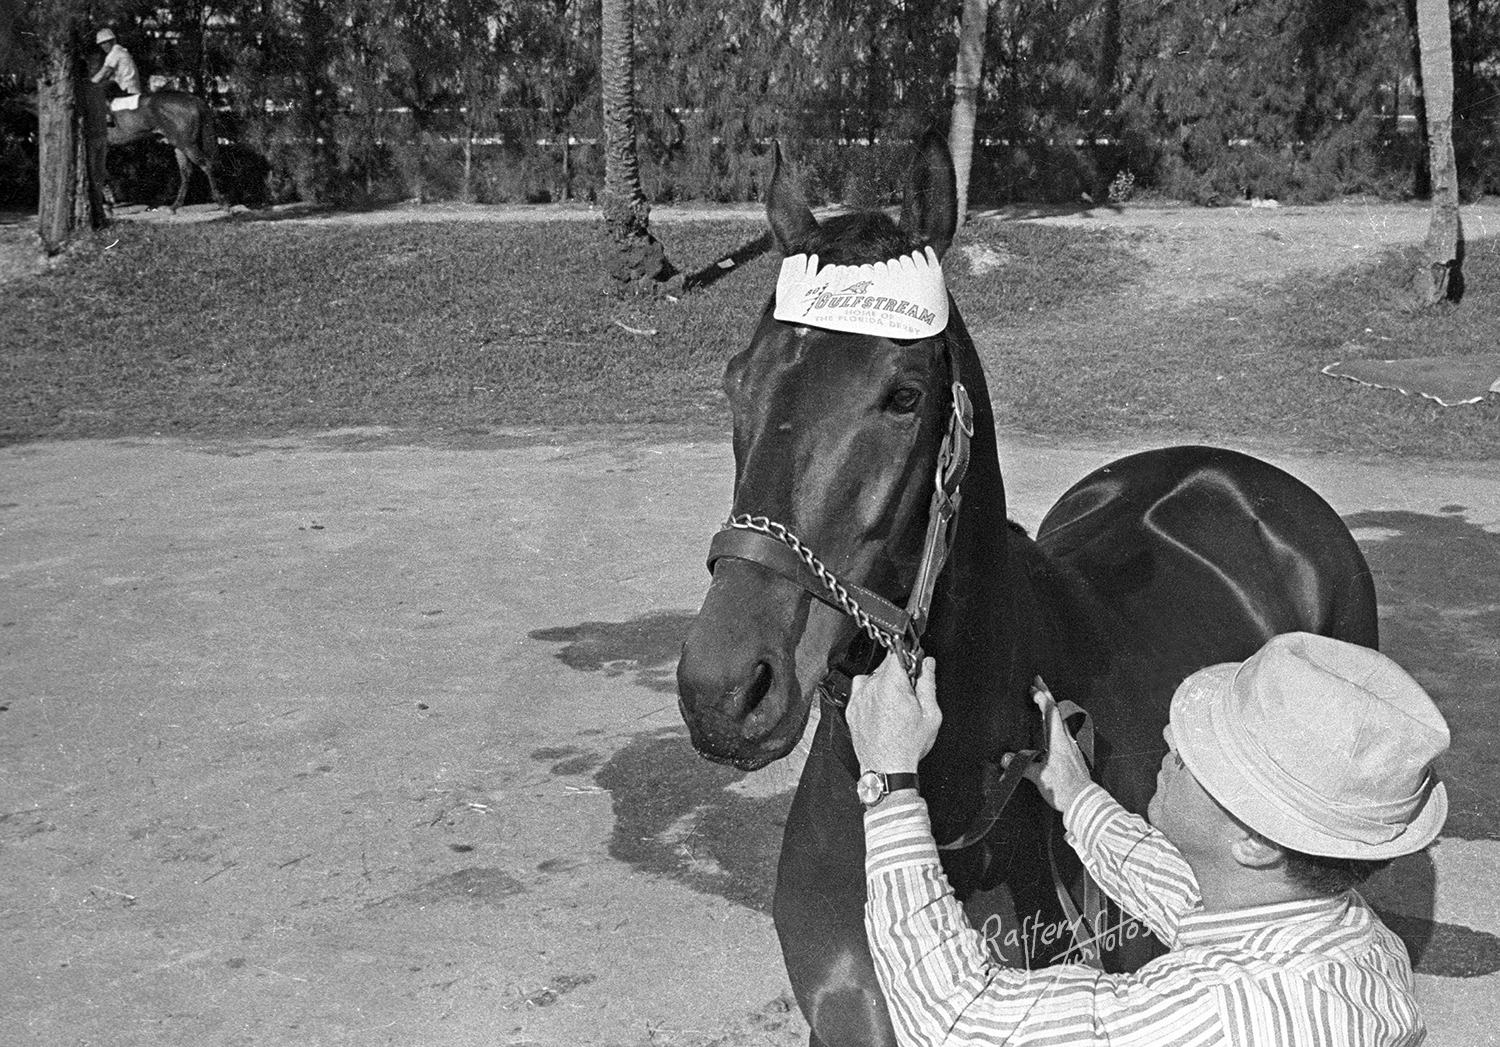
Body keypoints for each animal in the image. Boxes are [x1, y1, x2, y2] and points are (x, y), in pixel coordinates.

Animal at [81, 56, 225, 214]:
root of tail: (194, 99)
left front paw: (108, 206)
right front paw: (108, 204)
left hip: (188, 145)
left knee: (206, 165)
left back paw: (221, 202)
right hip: (179, 145)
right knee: (186, 172)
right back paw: (175, 206)